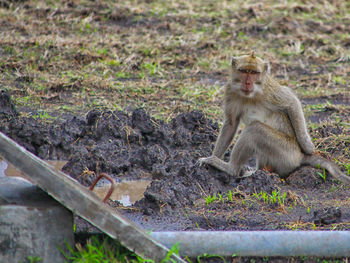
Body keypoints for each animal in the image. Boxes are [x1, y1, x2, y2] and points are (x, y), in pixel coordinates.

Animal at [198, 52, 350, 186]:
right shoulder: (230, 90)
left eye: (254, 73)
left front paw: (308, 147)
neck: (250, 95)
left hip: (286, 153)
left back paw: (232, 169)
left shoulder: (269, 90)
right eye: (244, 71)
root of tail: (299, 157)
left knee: (254, 129)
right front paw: (215, 156)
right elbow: (231, 123)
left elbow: (292, 103)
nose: (247, 83)